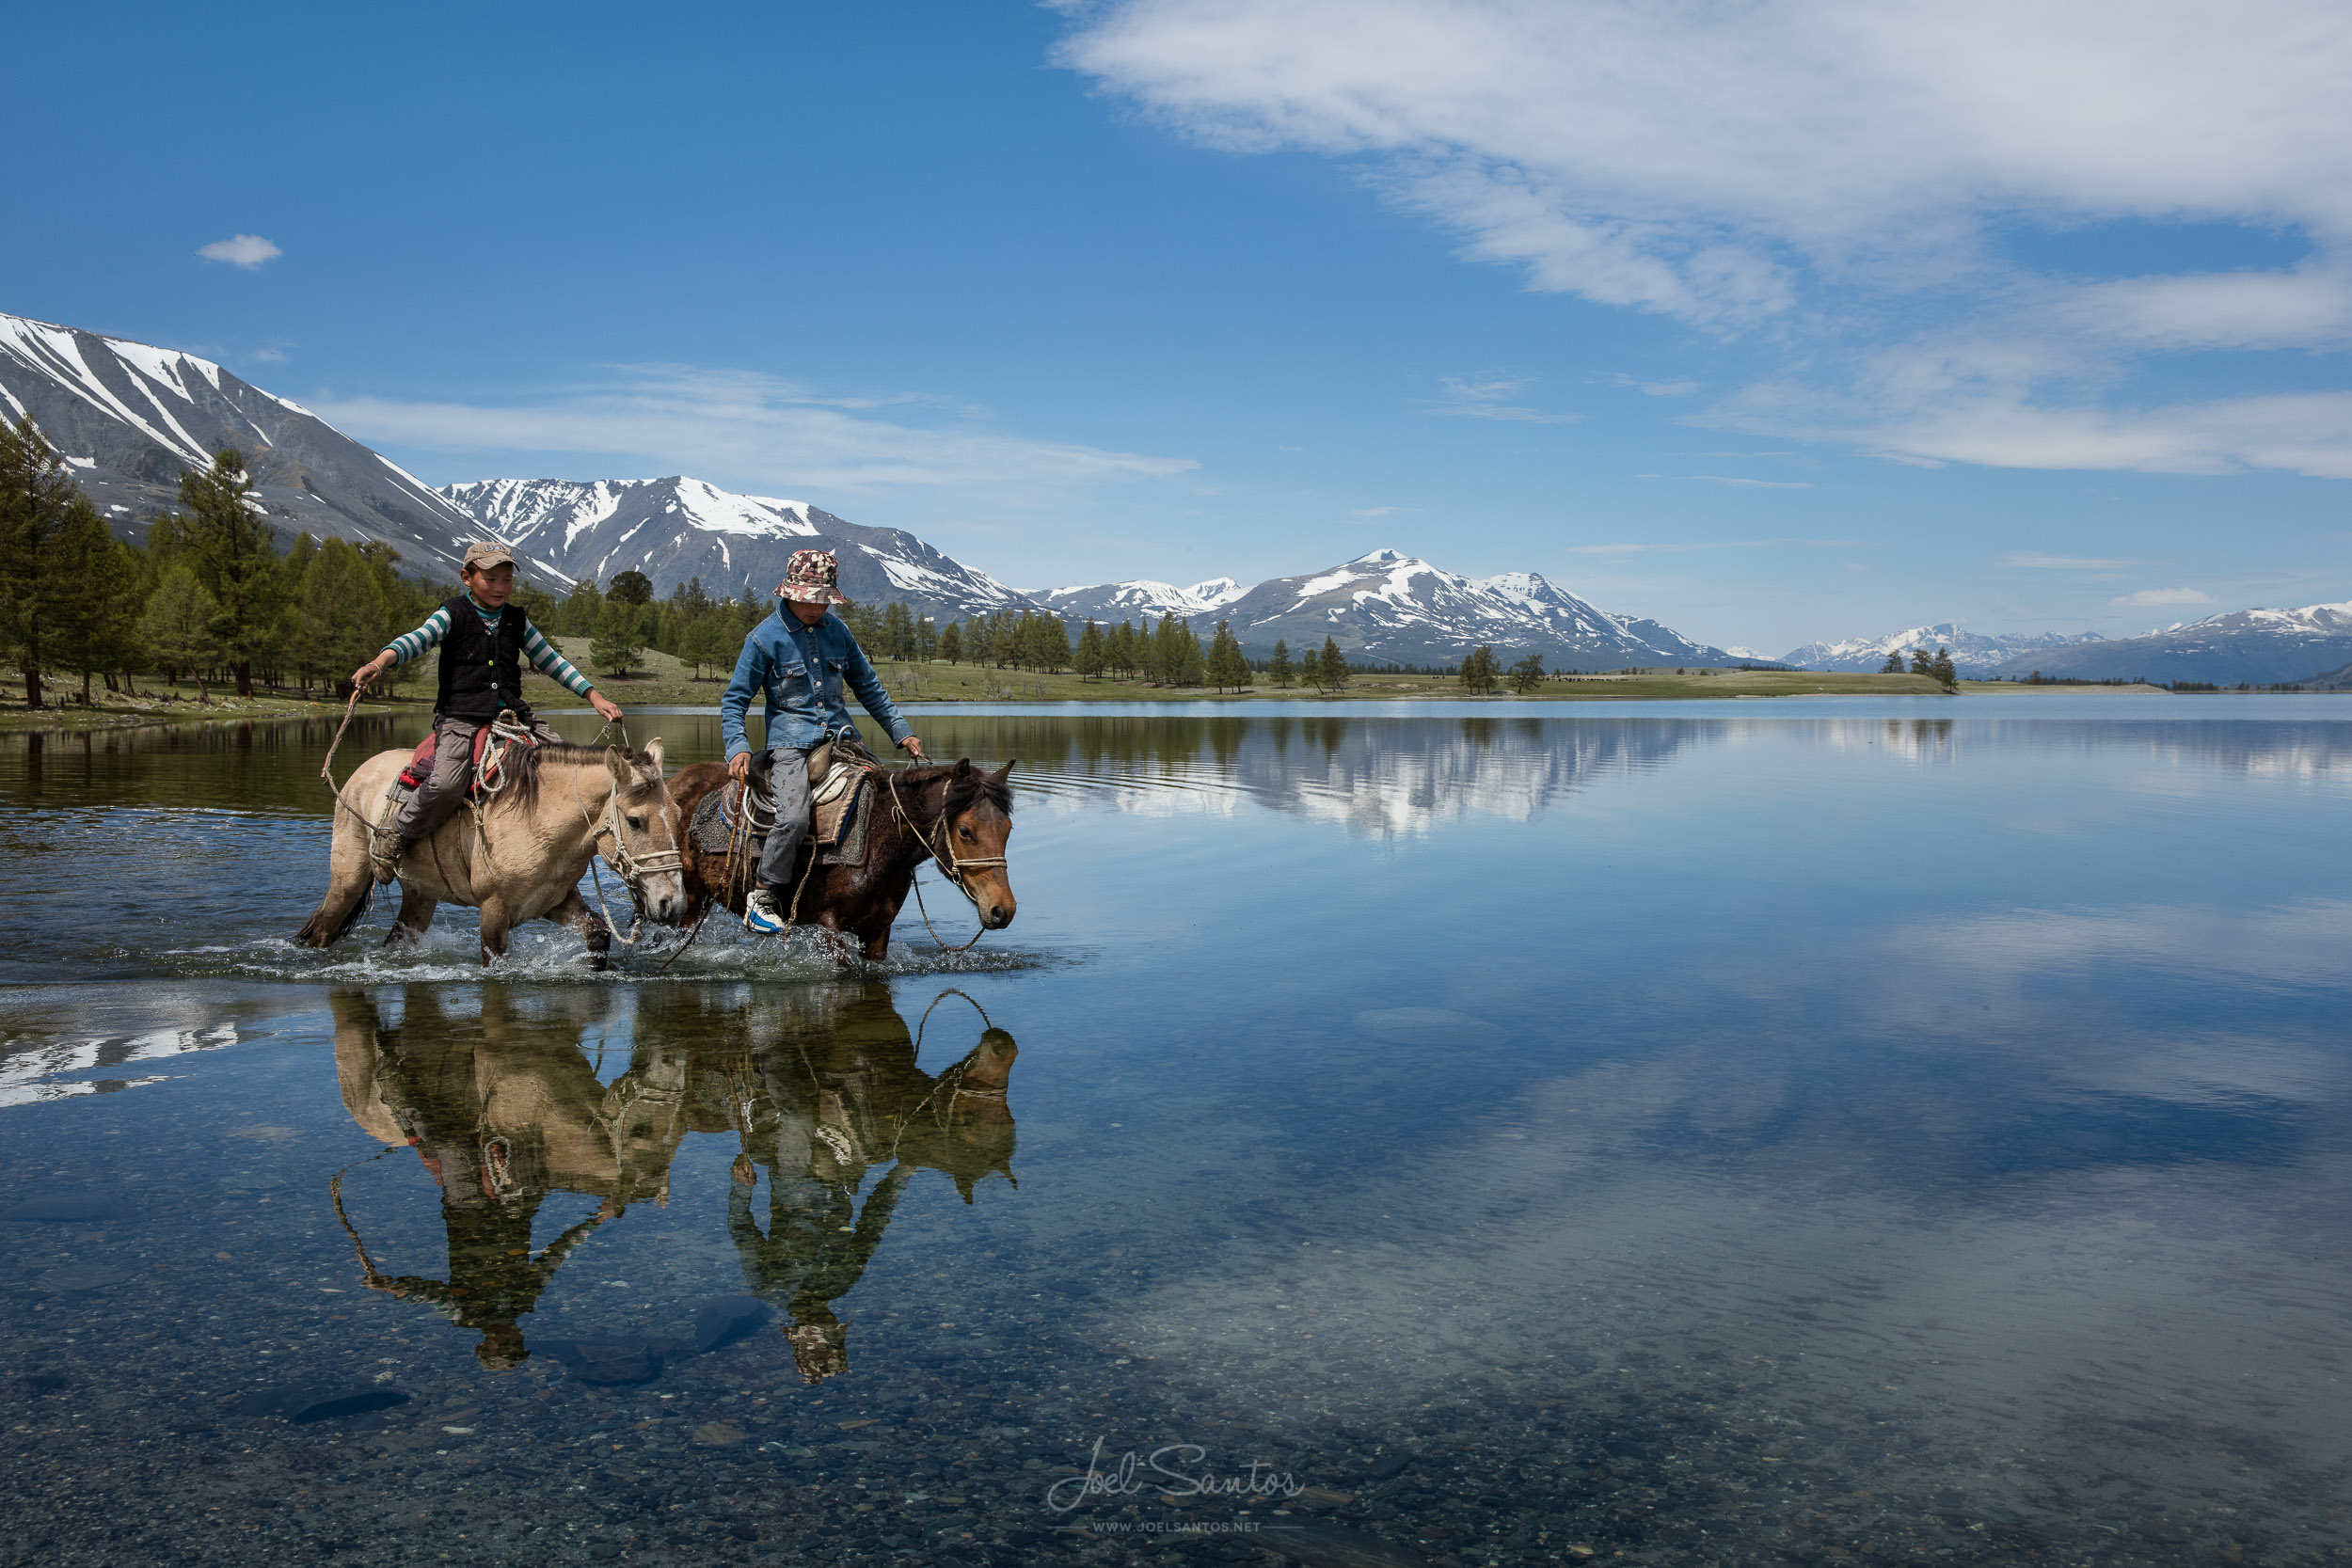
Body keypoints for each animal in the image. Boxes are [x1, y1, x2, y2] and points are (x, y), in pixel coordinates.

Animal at [296, 737, 687, 968]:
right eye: (635, 821)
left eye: (678, 814)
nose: (673, 903)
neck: (538, 818)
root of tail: (361, 772)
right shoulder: (493, 912)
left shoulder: (554, 901)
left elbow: (598, 934)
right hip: (348, 879)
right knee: (322, 930)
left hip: (420, 895)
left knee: (397, 939)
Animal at [673, 756, 1021, 963]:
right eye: (965, 830)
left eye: (1007, 828)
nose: (1002, 910)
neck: (880, 843)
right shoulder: (829, 927)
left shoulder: (878, 930)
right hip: (689, 898)